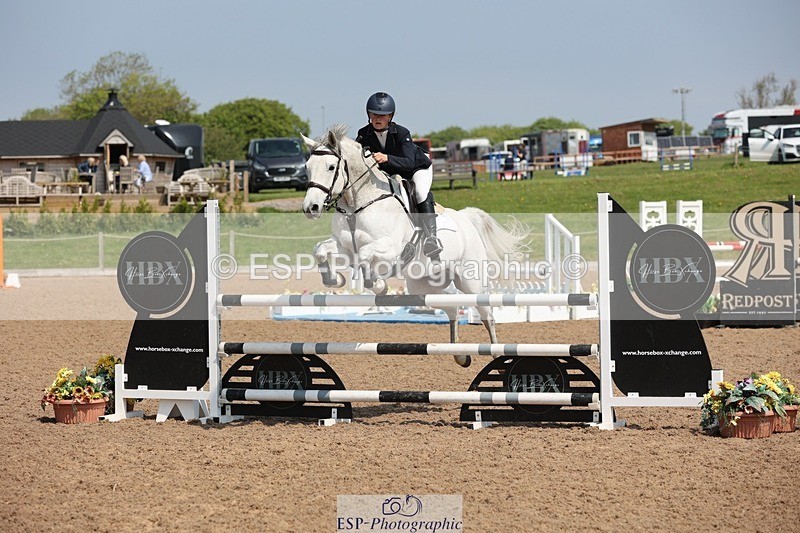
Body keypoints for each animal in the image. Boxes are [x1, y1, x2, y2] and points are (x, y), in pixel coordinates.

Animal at [300, 125, 529, 367]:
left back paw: (495, 353)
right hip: (423, 285)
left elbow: (365, 254)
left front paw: (378, 285)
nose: (310, 208)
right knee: (452, 306)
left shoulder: (390, 248)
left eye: (331, 166)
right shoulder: (344, 247)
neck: (359, 202)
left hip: (470, 282)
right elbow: (321, 250)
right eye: (307, 167)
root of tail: (467, 218)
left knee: (487, 314)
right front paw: (335, 280)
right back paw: (460, 354)